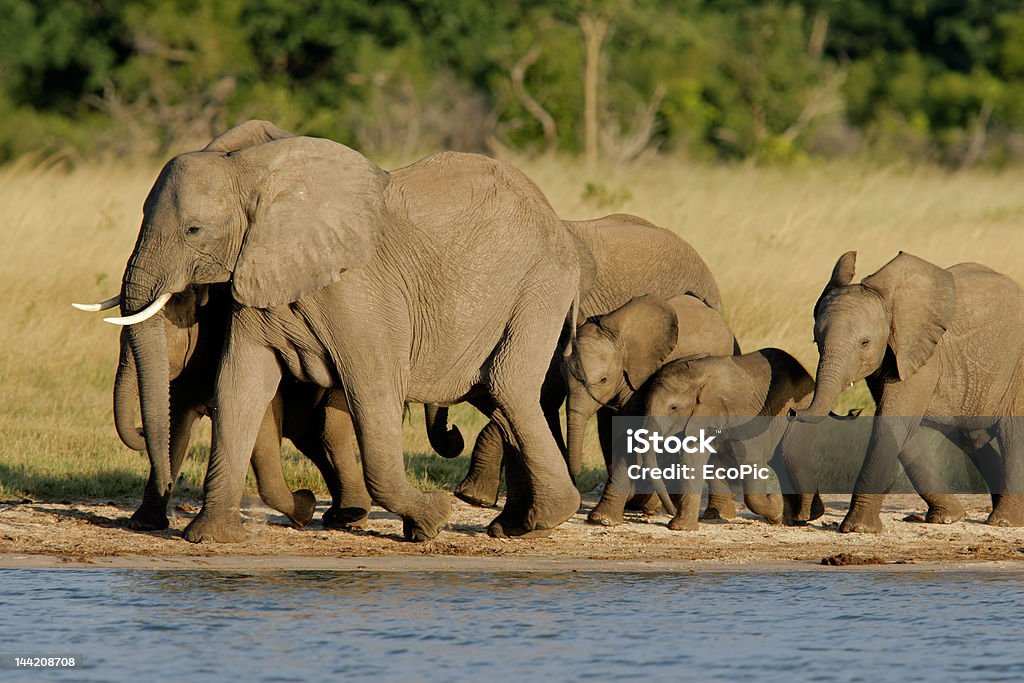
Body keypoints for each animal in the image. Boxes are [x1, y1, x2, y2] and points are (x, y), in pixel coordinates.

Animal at [107, 120, 585, 540]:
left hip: (539, 286)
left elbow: (374, 394)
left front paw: (432, 521)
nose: (142, 437)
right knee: (497, 399)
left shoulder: (360, 294)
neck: (251, 174)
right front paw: (211, 537)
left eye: (194, 230)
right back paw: (516, 526)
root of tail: (555, 217)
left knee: (508, 386)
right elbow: (240, 387)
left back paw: (541, 520)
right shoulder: (257, 277)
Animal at [565, 290, 741, 528]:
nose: (576, 473)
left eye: (603, 379)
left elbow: (629, 434)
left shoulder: (640, 376)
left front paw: (602, 519)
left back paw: (713, 514)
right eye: (564, 375)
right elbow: (609, 431)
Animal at [638, 350, 823, 532]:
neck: (698, 377)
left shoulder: (744, 415)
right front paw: (681, 528)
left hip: (801, 411)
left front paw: (776, 507)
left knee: (794, 460)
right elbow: (692, 457)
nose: (670, 510)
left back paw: (801, 518)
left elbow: (751, 460)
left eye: (674, 408)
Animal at [782, 252, 1024, 532]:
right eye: (816, 342)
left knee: (1011, 433)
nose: (792, 410)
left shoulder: (922, 356)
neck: (891, 302)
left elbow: (891, 422)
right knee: (972, 438)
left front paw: (858, 528)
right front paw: (947, 517)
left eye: (864, 343)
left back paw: (1005, 521)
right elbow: (904, 428)